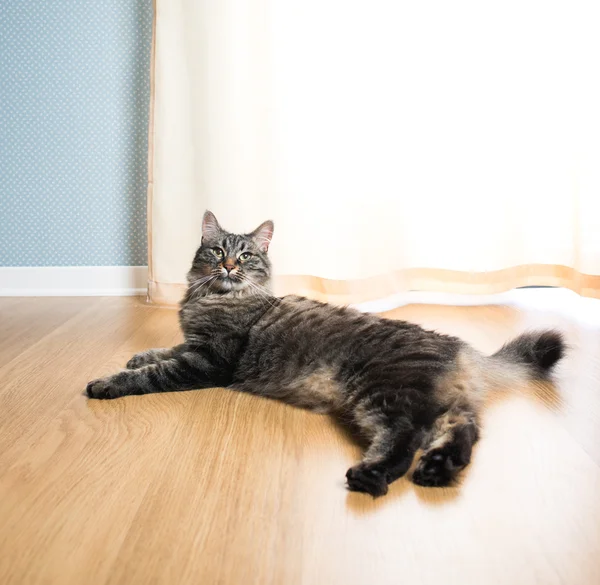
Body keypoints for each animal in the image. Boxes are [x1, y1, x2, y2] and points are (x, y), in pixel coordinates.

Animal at [86, 212, 564, 496]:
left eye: (247, 255)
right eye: (217, 250)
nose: (228, 266)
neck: (212, 298)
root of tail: (461, 348)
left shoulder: (208, 360)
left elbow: (155, 371)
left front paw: (107, 381)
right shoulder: (193, 345)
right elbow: (161, 350)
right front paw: (138, 355)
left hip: (383, 393)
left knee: (406, 437)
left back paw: (373, 476)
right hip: (441, 402)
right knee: (463, 432)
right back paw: (438, 470)